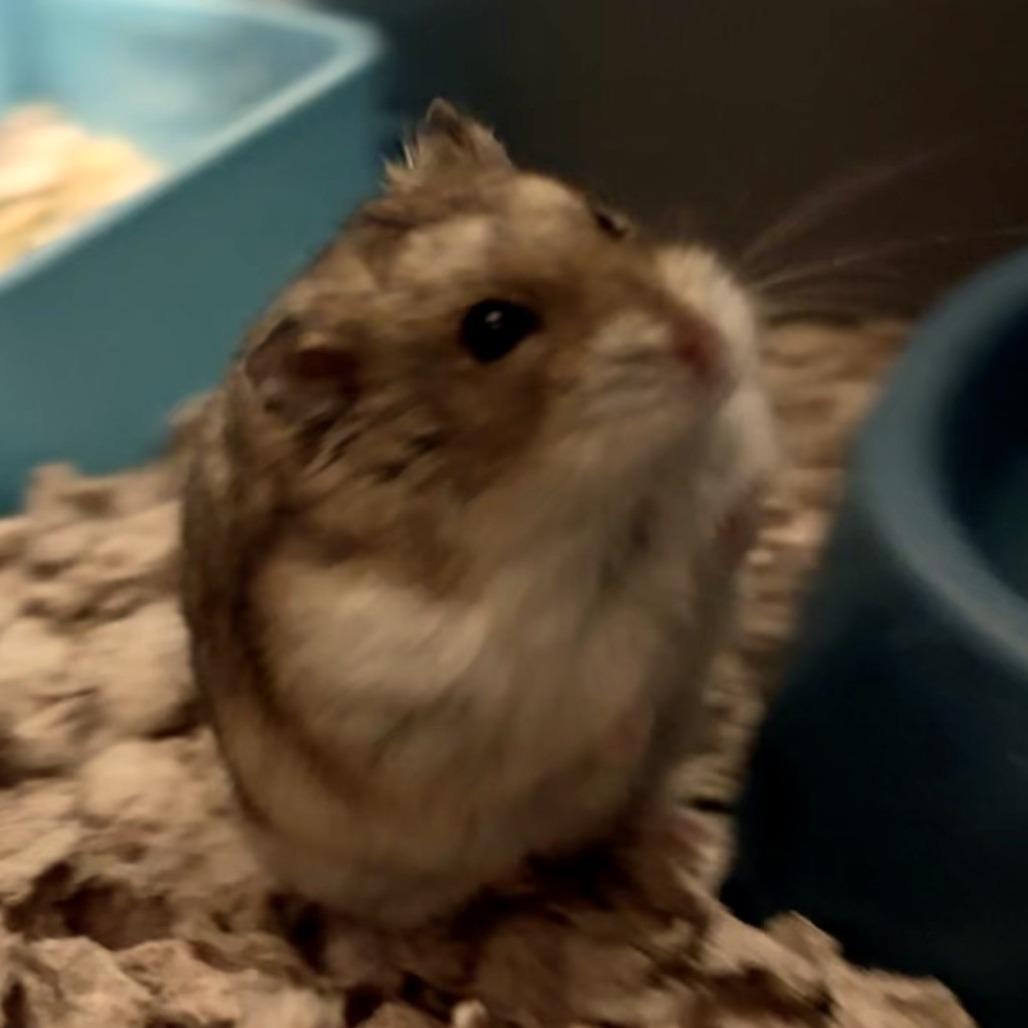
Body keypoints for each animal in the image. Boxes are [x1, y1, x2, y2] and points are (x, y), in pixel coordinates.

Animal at [180, 100, 776, 926]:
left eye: (603, 218)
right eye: (492, 328)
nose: (711, 348)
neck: (609, 482)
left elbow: (726, 517)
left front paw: (747, 525)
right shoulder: (462, 689)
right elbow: (605, 683)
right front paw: (627, 727)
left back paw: (685, 840)